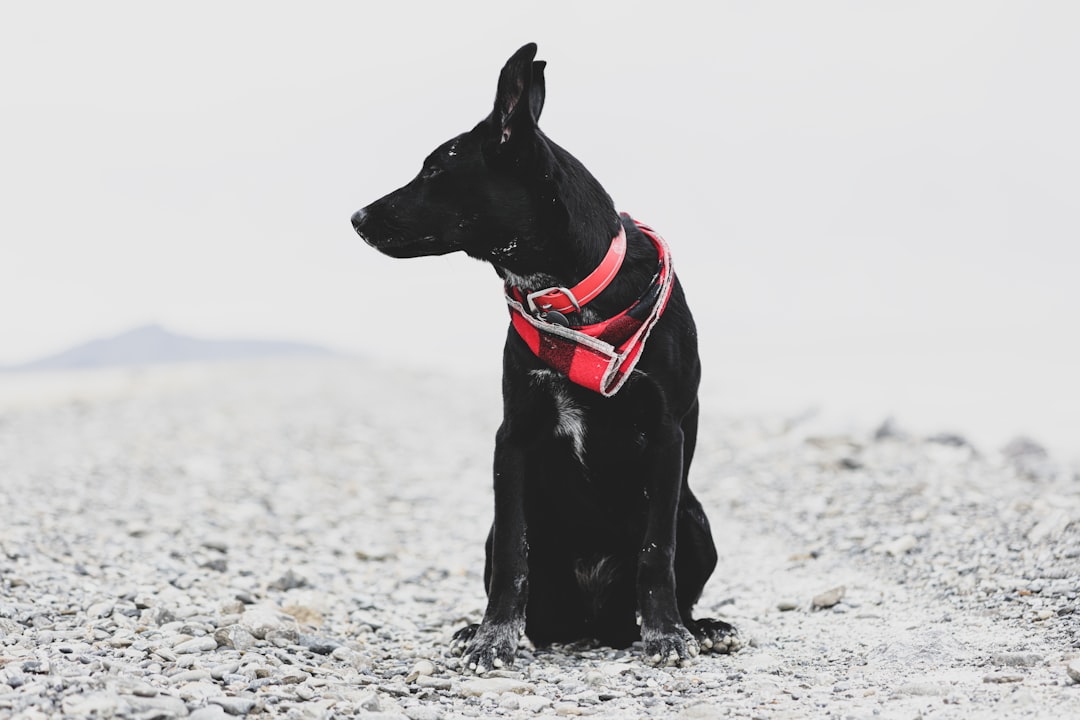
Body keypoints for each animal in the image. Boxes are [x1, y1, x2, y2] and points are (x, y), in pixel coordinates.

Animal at [349, 42, 738, 669]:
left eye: (434, 169)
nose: (356, 218)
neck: (571, 297)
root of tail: (596, 622)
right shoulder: (515, 438)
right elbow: (514, 555)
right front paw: (493, 636)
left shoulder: (666, 435)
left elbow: (657, 553)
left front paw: (667, 633)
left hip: (695, 514)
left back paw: (701, 625)